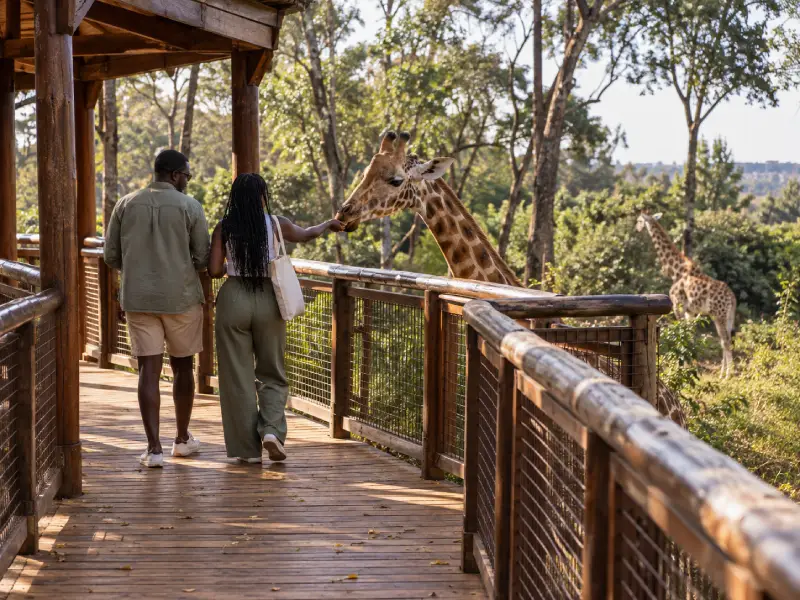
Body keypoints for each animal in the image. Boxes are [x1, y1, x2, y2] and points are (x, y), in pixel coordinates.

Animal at [636, 212, 737, 378]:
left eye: (639, 220)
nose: (637, 228)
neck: (676, 270)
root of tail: (732, 298)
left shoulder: (678, 305)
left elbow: (682, 334)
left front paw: (682, 367)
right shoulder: (691, 311)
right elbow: (689, 336)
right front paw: (689, 367)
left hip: (719, 315)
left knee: (725, 341)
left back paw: (728, 375)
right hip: (728, 316)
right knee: (726, 339)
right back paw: (723, 373)